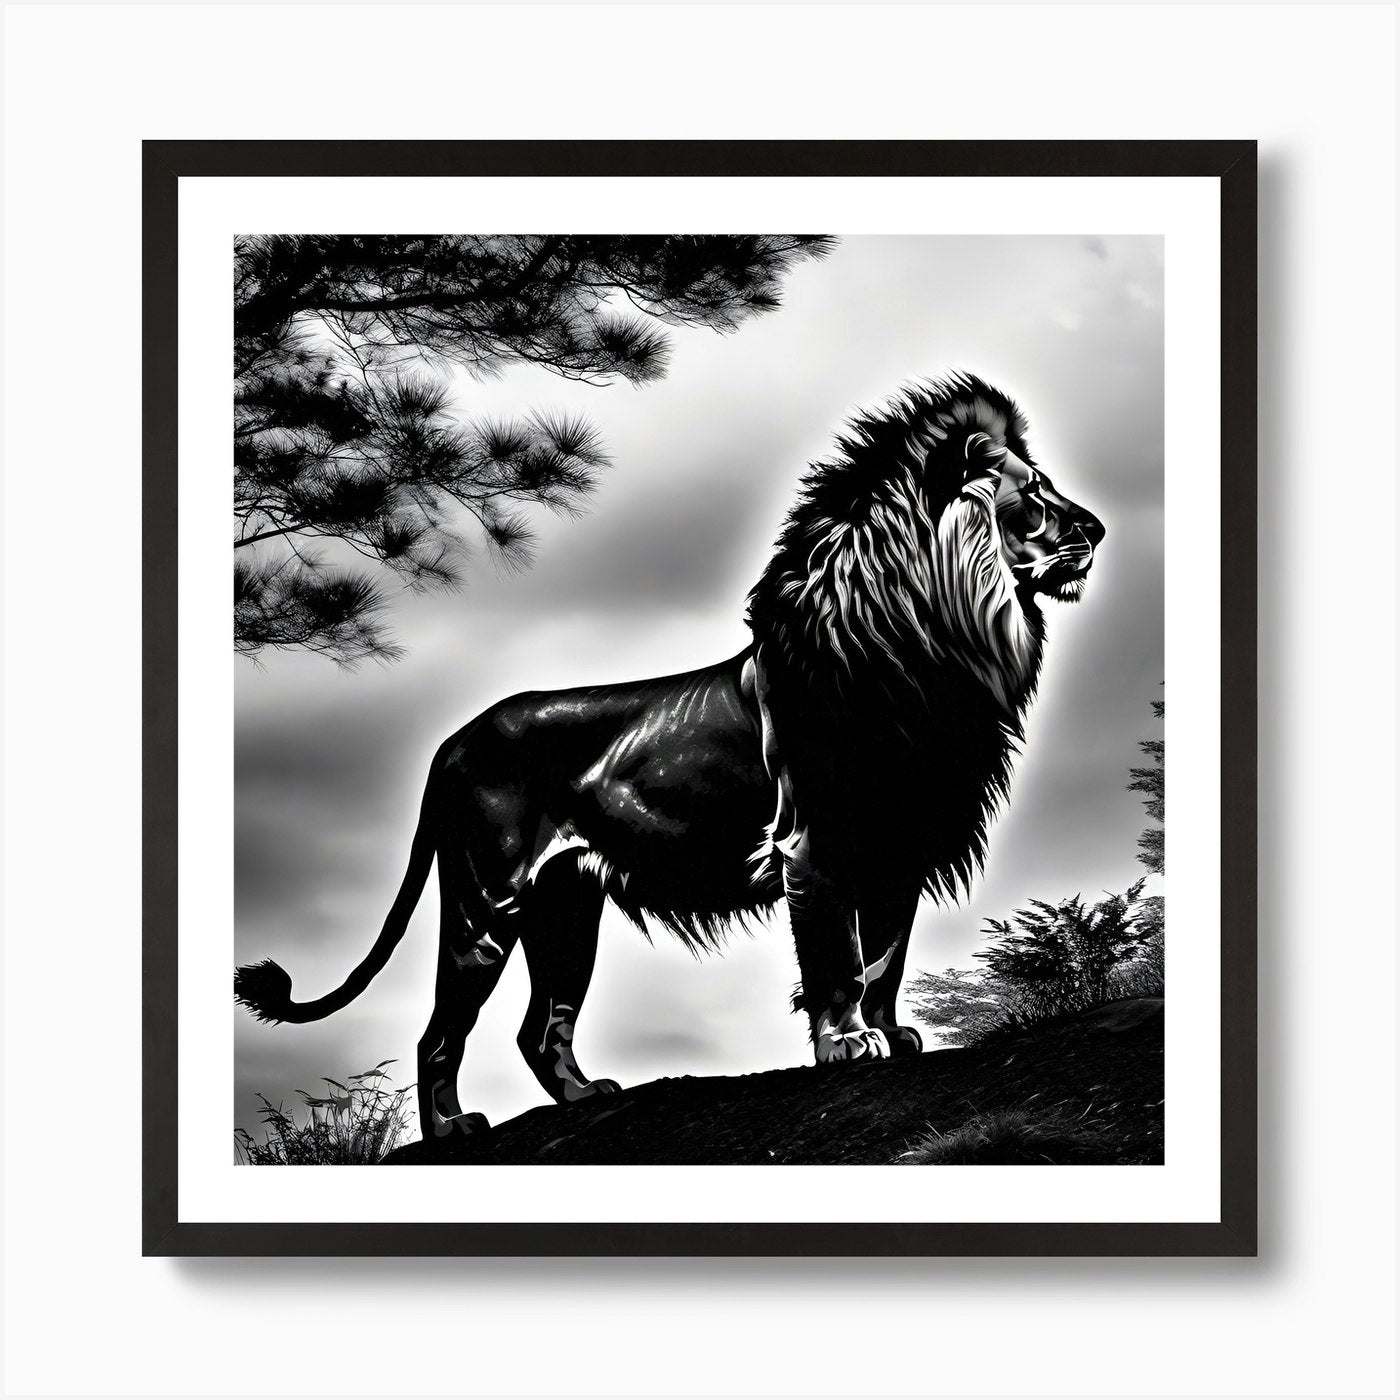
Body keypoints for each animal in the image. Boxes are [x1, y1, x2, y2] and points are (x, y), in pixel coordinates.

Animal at [235, 372, 1105, 1147]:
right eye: (1034, 493)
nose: (1096, 531)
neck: (935, 644)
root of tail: (452, 741)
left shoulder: (903, 841)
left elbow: (884, 960)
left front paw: (894, 1038)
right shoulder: (817, 842)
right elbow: (837, 959)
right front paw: (845, 1044)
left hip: (566, 909)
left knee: (539, 1027)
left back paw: (584, 1096)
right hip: (489, 898)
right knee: (441, 1028)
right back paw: (451, 1127)